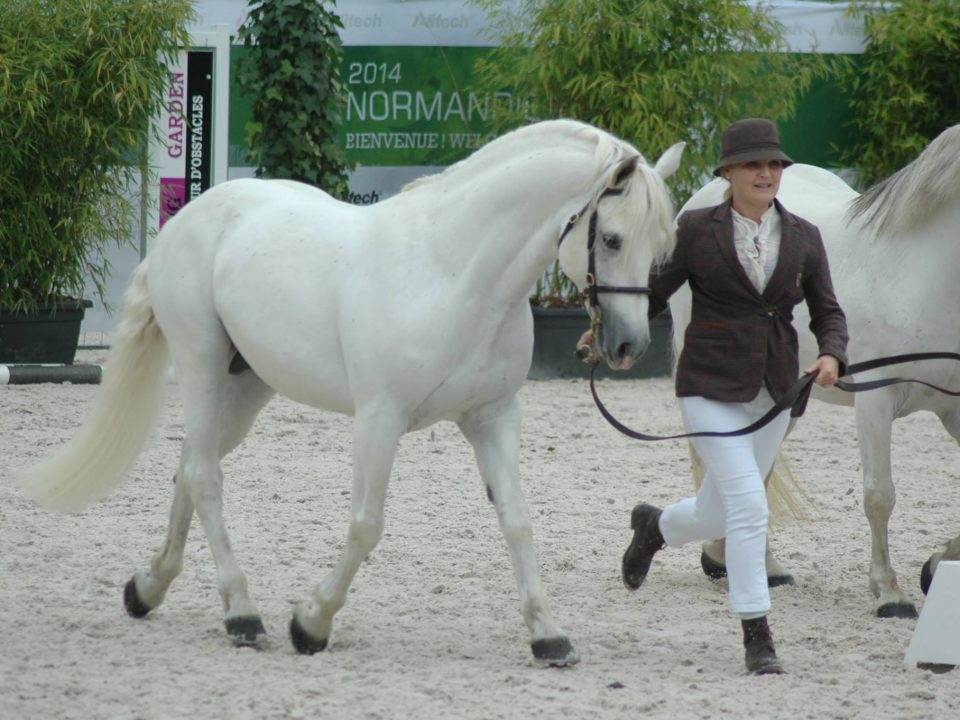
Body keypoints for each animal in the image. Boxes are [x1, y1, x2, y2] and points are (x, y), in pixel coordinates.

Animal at [17, 119, 685, 665]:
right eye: (613, 239)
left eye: (661, 246)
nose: (630, 345)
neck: (451, 272)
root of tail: (189, 215)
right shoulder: (379, 420)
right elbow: (366, 526)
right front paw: (310, 624)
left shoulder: (493, 417)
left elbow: (517, 522)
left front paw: (548, 636)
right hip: (202, 365)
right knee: (204, 476)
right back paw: (242, 614)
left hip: (247, 386)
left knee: (189, 465)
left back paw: (149, 588)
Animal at [667, 123, 960, 619]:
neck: (920, 277)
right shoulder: (875, 402)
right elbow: (879, 495)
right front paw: (890, 593)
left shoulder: (956, 409)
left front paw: (936, 565)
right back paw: (722, 557)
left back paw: (754, 565)